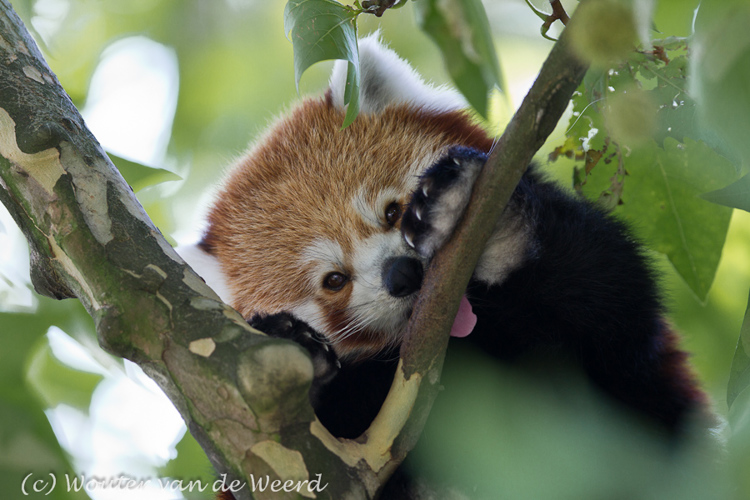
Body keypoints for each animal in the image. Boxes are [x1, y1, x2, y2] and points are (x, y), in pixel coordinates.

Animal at [179, 34, 712, 480]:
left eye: (393, 212)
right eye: (334, 280)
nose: (403, 274)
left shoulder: (621, 346)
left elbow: (611, 293)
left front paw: (492, 226)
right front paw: (296, 347)